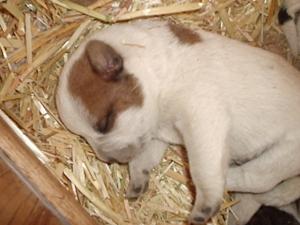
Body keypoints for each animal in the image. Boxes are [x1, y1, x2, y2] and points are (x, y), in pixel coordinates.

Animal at [55, 20, 300, 224]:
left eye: (105, 123)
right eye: (83, 137)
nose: (109, 160)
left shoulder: (203, 117)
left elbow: (204, 170)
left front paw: (205, 201)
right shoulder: (155, 133)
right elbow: (143, 159)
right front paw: (137, 180)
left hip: (279, 158)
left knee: (255, 179)